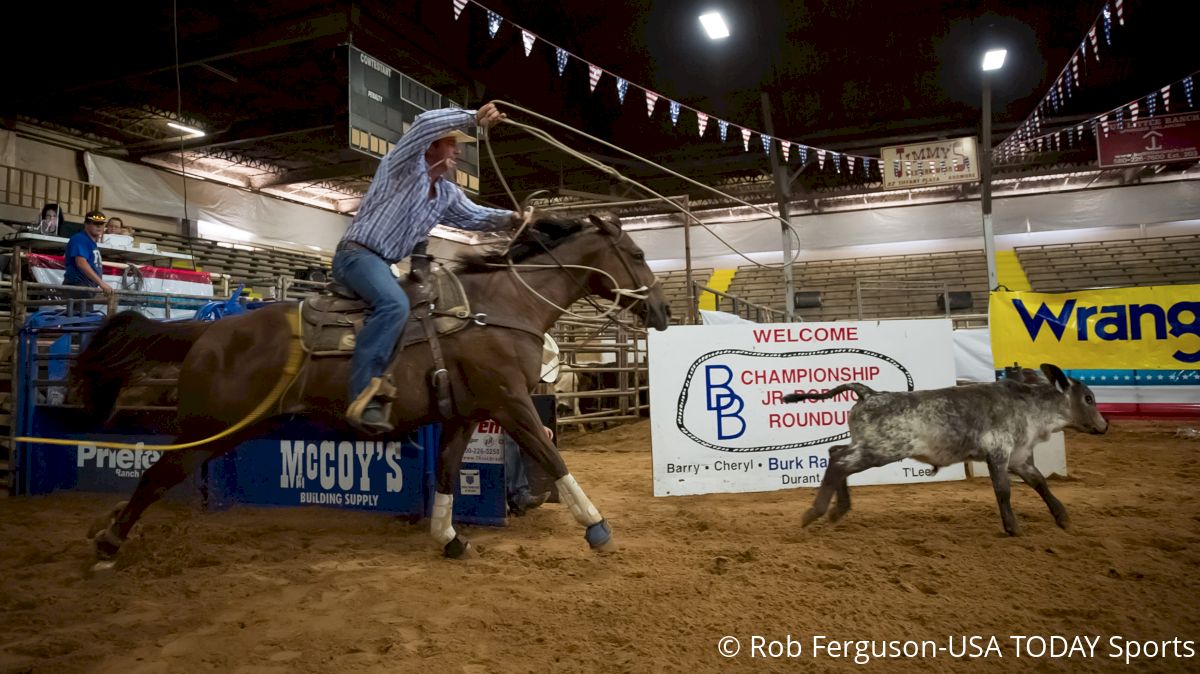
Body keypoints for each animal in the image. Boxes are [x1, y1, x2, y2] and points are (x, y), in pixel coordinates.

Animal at [73, 209, 672, 561]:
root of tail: (210, 329)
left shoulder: (462, 411)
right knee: (155, 475)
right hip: (209, 427)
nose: (665, 311)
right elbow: (552, 456)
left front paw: (448, 537)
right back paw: (108, 540)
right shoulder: (511, 402)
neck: (499, 308)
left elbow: (449, 472)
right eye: (637, 254)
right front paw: (597, 527)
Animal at [782, 364, 1108, 532]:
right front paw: (1013, 527)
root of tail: (870, 393)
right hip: (880, 449)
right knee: (839, 463)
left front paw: (1062, 517)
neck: (1030, 406)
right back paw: (815, 512)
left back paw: (838, 511)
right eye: (1089, 398)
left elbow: (1039, 482)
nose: (1104, 426)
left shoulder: (1019, 457)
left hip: (866, 445)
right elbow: (1003, 490)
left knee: (835, 455)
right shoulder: (999, 452)